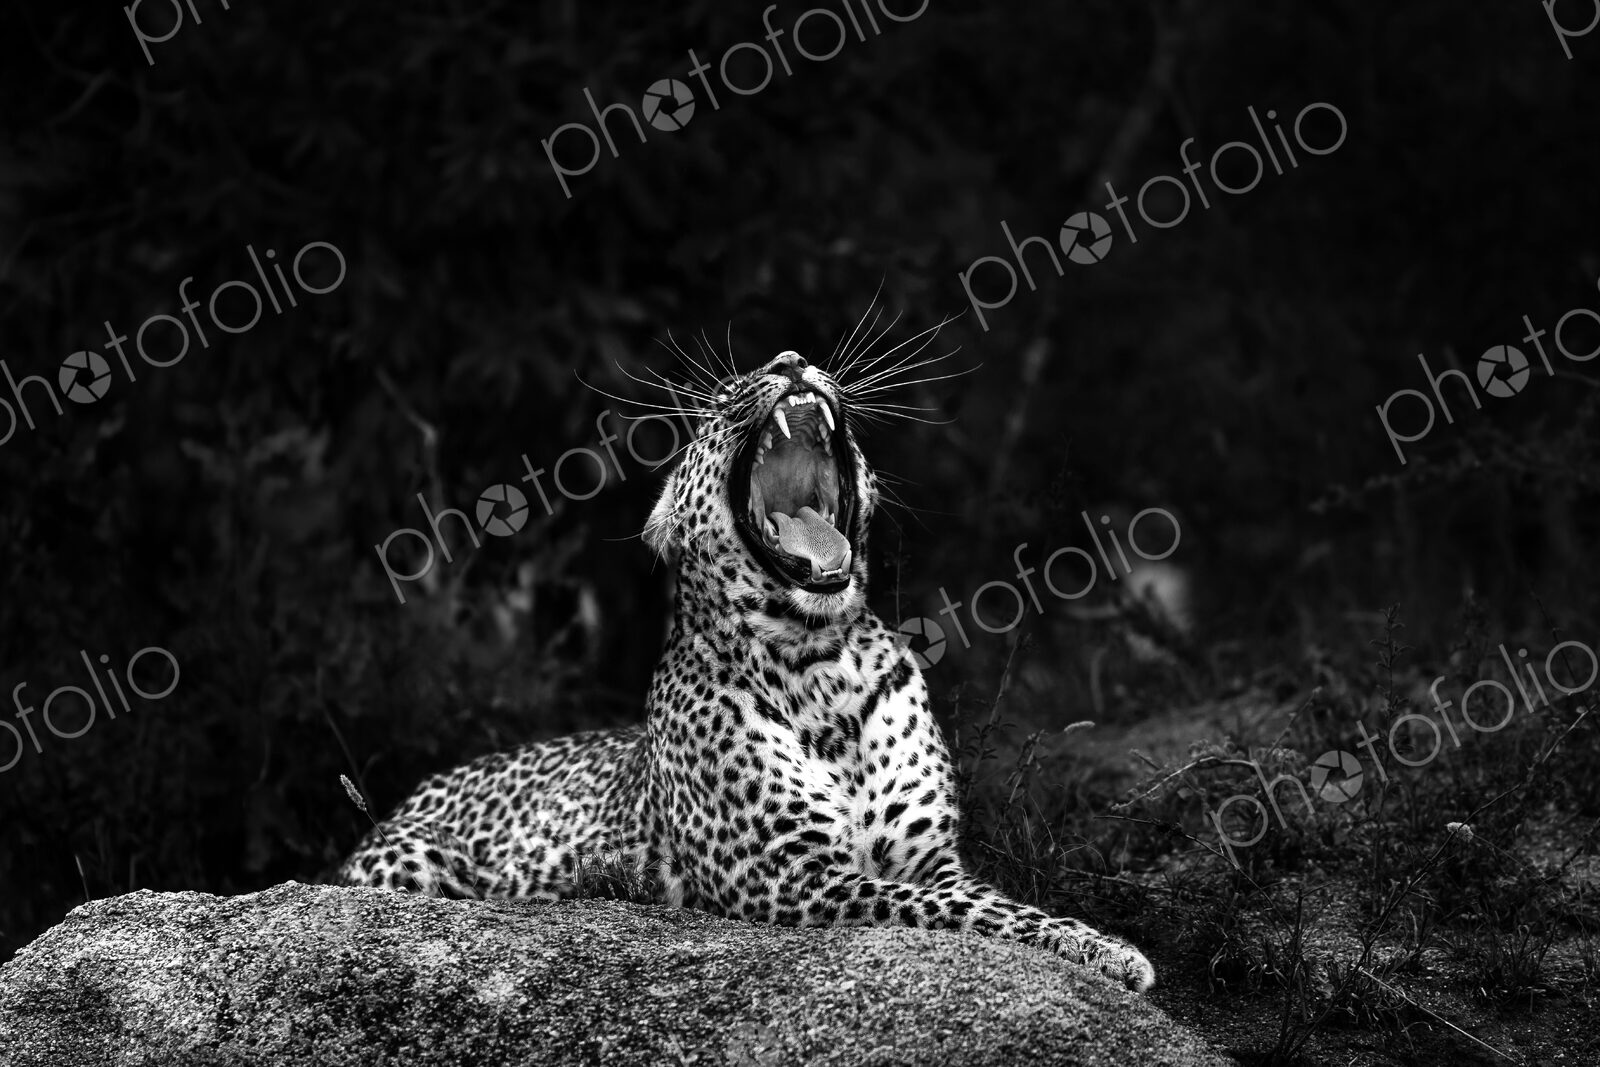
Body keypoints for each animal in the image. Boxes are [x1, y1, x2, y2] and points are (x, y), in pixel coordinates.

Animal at [338, 344, 1155, 992]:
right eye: (717, 404)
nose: (790, 358)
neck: (824, 664)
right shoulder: (792, 878)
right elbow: (961, 909)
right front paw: (1111, 953)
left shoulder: (931, 858)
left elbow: (993, 899)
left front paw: (1098, 944)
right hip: (412, 866)